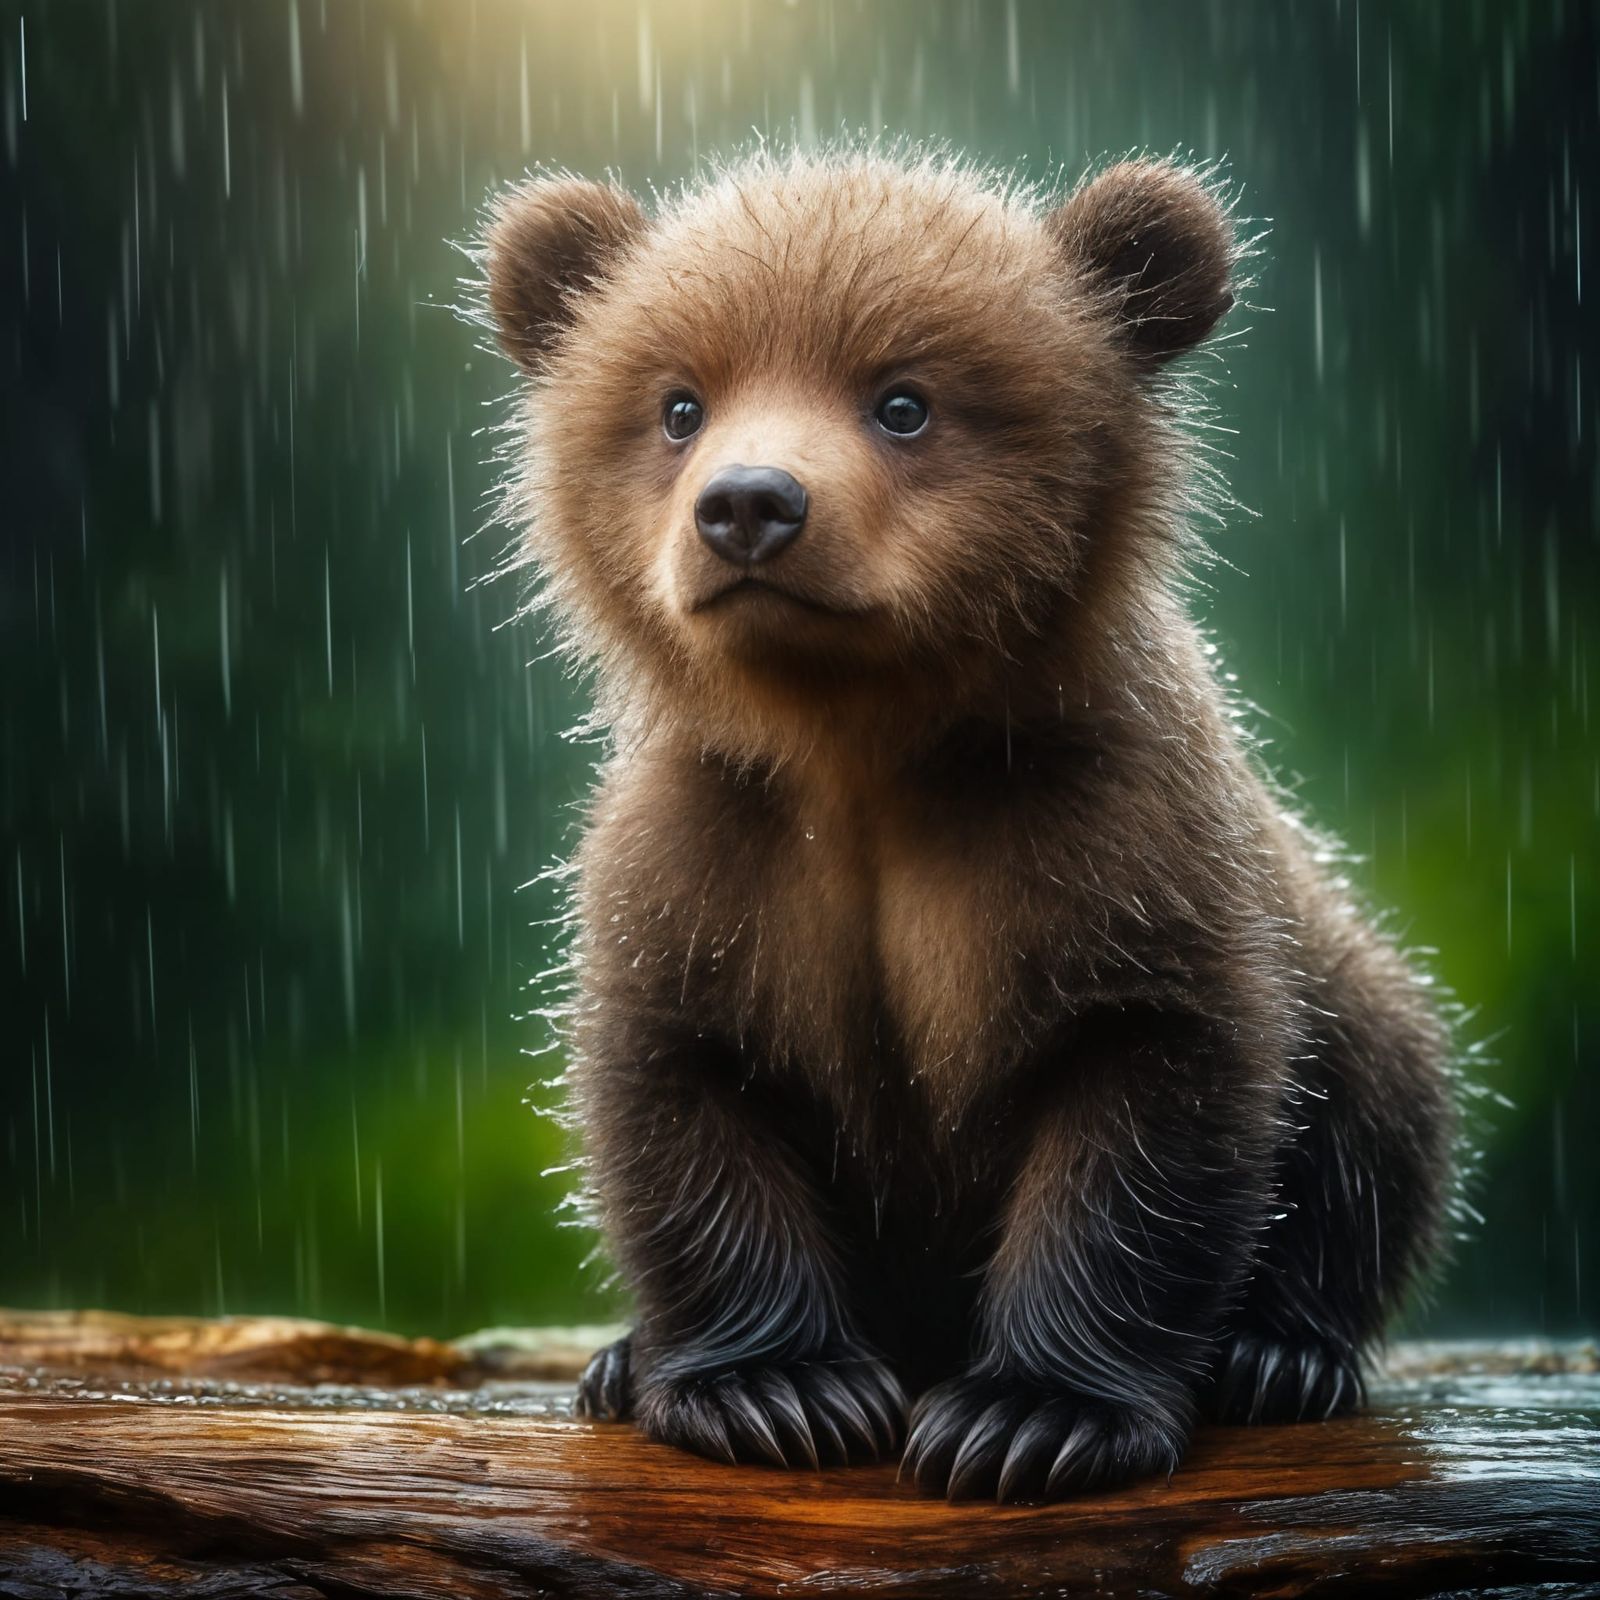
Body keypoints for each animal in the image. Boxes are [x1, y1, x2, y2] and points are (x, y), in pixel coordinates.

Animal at [481, 148, 1456, 1502]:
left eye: (902, 401)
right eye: (678, 403)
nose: (748, 505)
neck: (865, 746)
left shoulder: (1109, 841)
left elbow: (1147, 1105)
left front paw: (1033, 1415)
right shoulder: (705, 857)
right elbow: (683, 1092)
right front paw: (771, 1387)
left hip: (1341, 963)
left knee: (1384, 1083)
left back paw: (1280, 1355)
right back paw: (617, 1362)